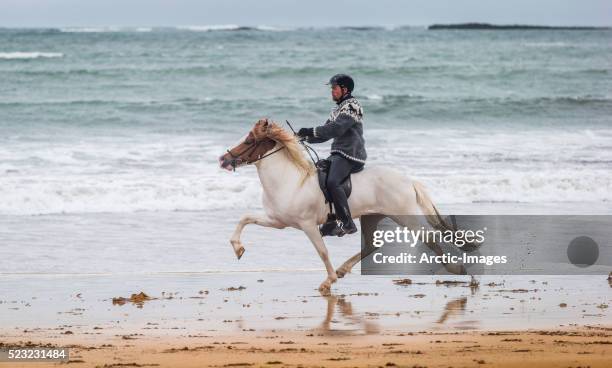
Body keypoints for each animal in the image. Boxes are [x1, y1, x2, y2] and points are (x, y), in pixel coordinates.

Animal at [220, 119, 460, 292]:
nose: (223, 159)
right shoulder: (277, 221)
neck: (289, 180)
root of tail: (409, 181)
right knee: (372, 245)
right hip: (373, 217)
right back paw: (343, 269)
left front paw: (328, 281)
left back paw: (455, 268)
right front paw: (238, 248)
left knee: (430, 236)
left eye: (249, 141)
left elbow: (322, 251)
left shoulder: (307, 225)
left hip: (405, 216)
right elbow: (245, 218)